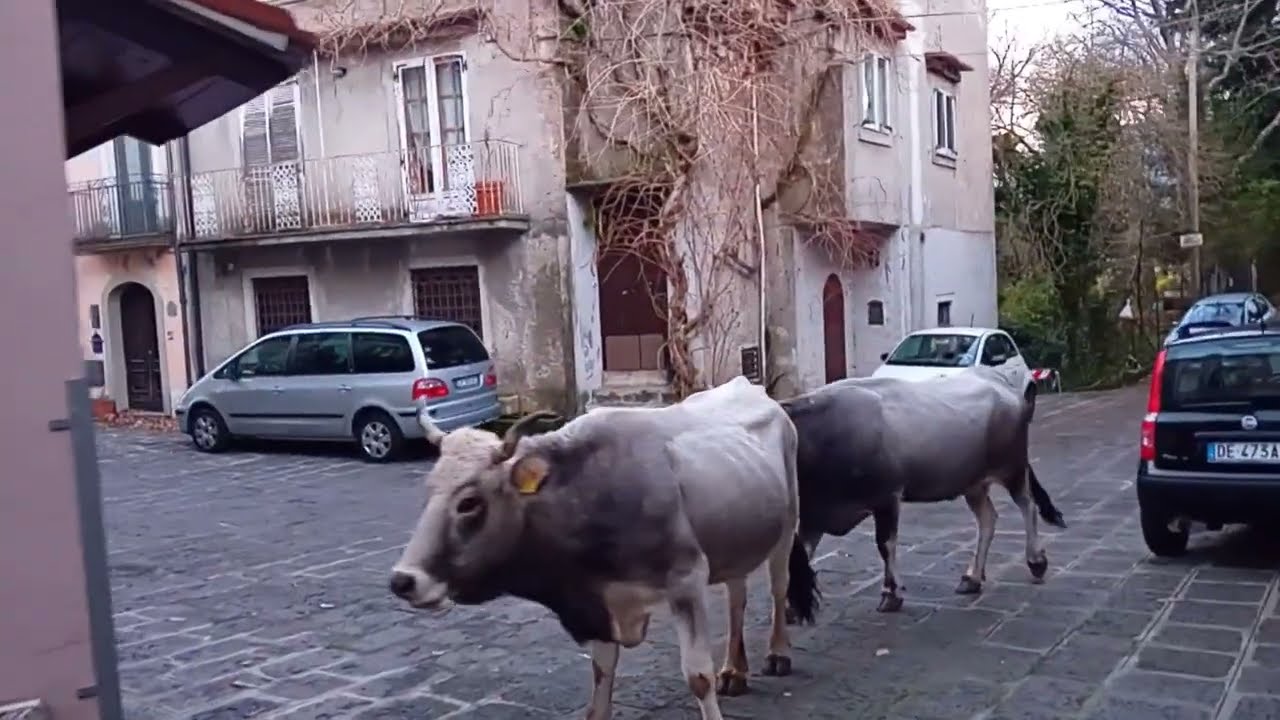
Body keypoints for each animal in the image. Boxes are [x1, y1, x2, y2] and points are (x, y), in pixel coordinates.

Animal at [387, 376, 817, 720]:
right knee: (737, 598)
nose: (403, 581)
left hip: (787, 523)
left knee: (778, 587)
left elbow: (697, 676)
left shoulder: (686, 579)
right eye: (429, 490)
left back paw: (777, 654)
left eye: (469, 502)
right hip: (733, 542)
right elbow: (601, 674)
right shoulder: (597, 602)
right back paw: (734, 670)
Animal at [781, 368, 1066, 619]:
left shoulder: (887, 496)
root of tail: (1002, 382)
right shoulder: (813, 515)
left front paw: (891, 594)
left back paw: (1036, 561)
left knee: (1027, 506)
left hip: (1012, 467)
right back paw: (972, 577)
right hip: (973, 482)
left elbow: (885, 544)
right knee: (988, 519)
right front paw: (790, 607)